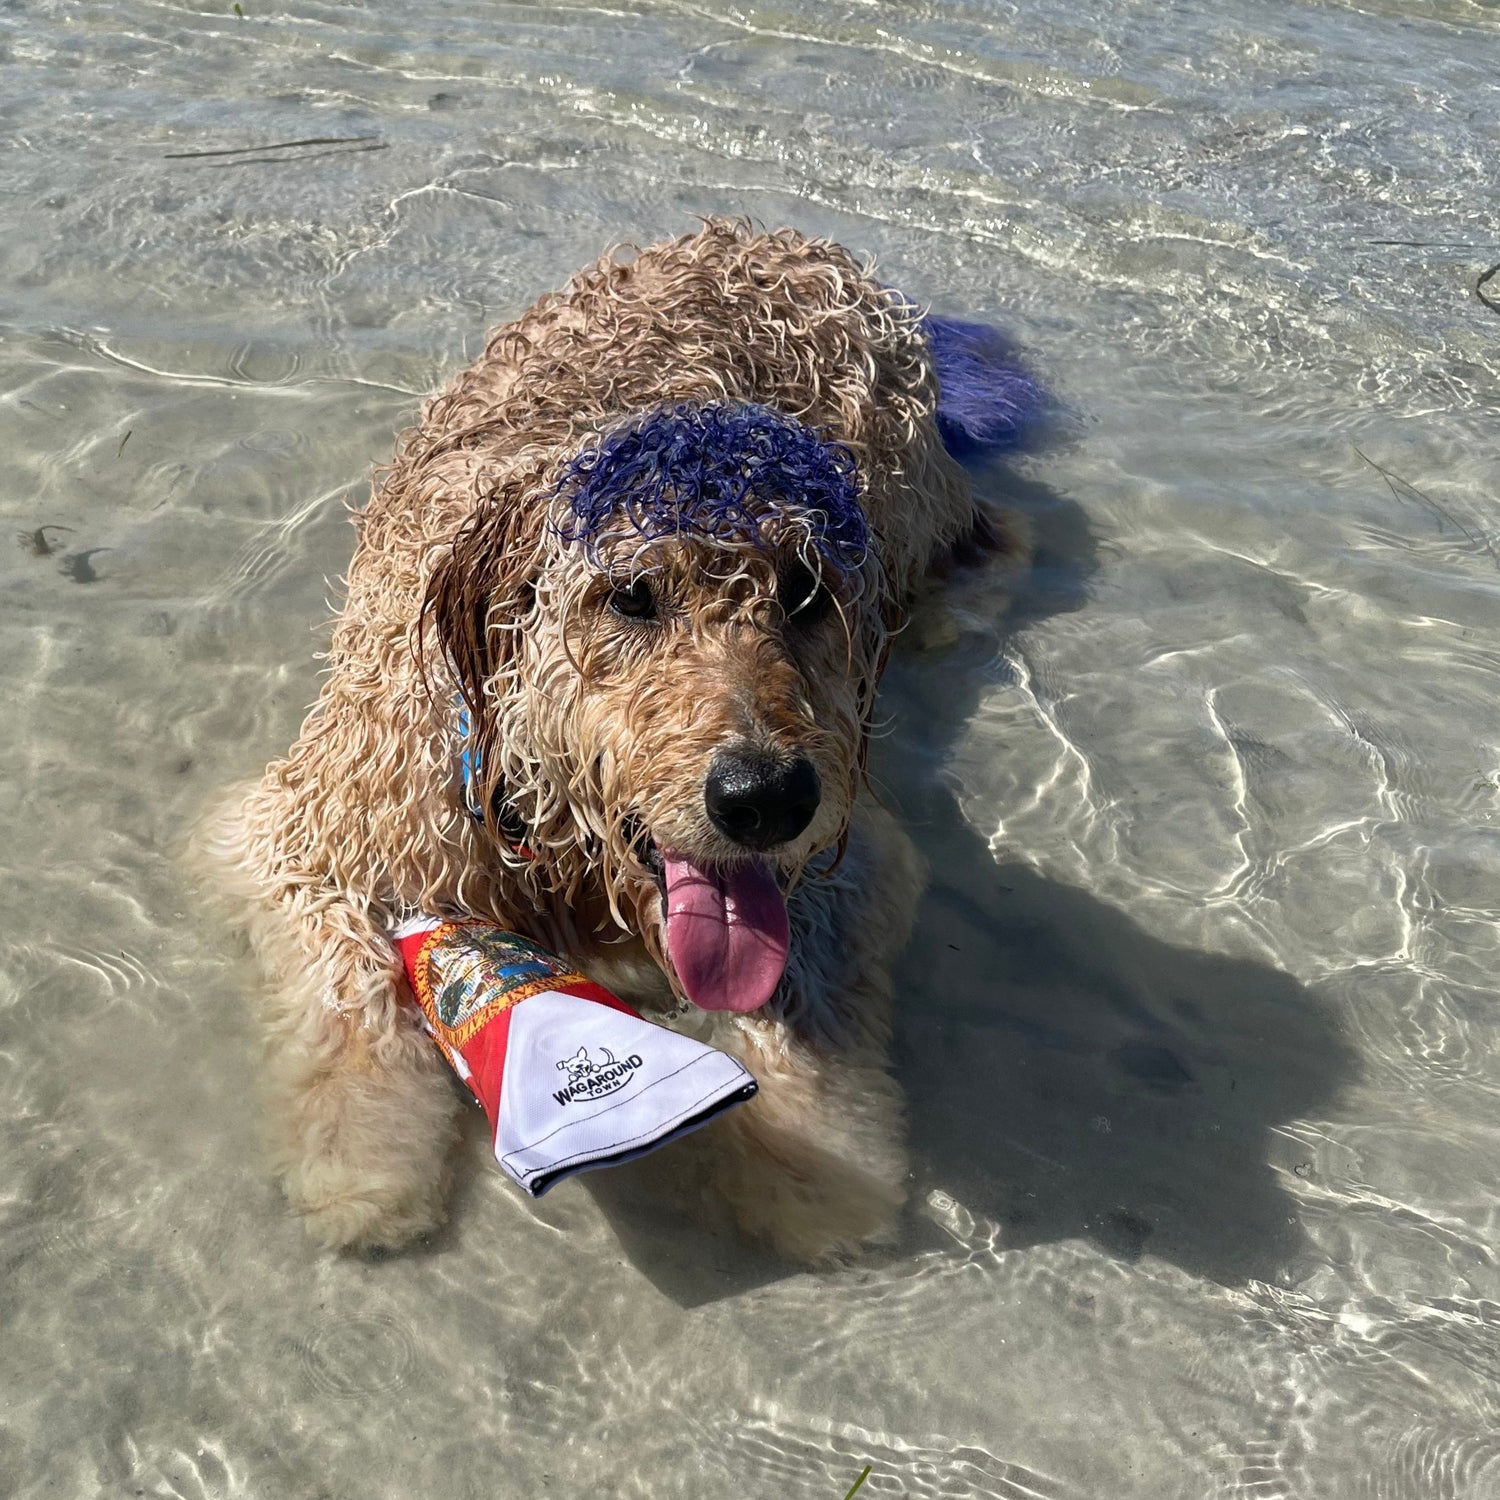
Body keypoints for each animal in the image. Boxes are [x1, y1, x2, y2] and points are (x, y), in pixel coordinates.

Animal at [202, 217, 1044, 1260]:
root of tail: (799, 244)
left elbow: (799, 988)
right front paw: (362, 1157)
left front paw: (807, 1166)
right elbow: (344, 985)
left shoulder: (850, 850)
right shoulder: (304, 827)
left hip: (907, 484)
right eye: (633, 595)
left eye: (804, 592)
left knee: (995, 530)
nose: (765, 798)